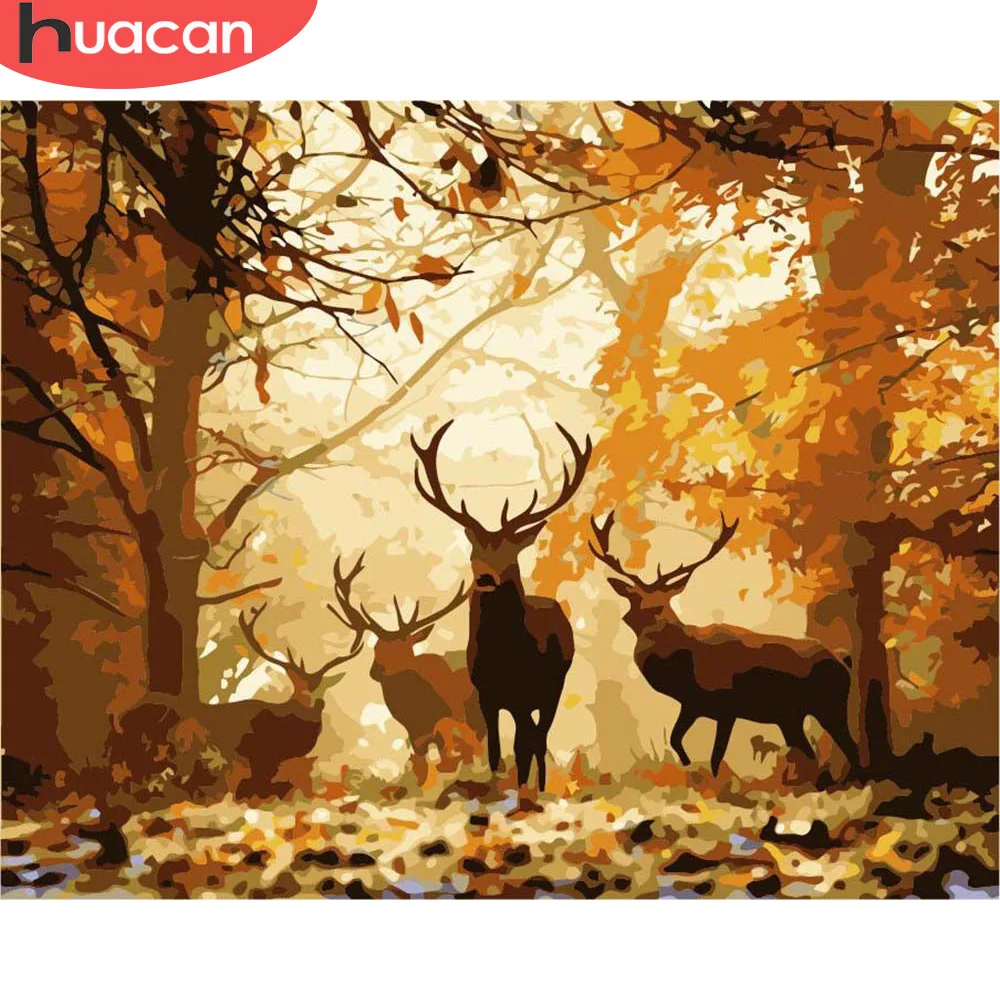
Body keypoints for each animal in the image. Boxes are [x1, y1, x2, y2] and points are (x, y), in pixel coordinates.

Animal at [328, 554, 483, 784]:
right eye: (376, 647)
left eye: (404, 647)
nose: (376, 671)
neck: (419, 713)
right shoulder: (415, 737)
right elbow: (423, 771)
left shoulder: (455, 715)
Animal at [411, 419, 593, 791]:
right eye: (474, 549)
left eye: (512, 551)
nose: (484, 576)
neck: (505, 659)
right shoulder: (487, 696)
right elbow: (495, 749)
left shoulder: (525, 694)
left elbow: (526, 744)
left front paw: (525, 790)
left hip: (554, 686)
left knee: (538, 738)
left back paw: (539, 787)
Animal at [590, 511, 859, 778]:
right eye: (635, 600)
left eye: (663, 605)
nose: (648, 624)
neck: (687, 672)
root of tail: (843, 661)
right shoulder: (692, 705)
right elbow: (676, 740)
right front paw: (688, 767)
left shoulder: (726, 706)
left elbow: (716, 756)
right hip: (790, 717)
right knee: (810, 750)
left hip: (831, 706)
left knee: (851, 747)